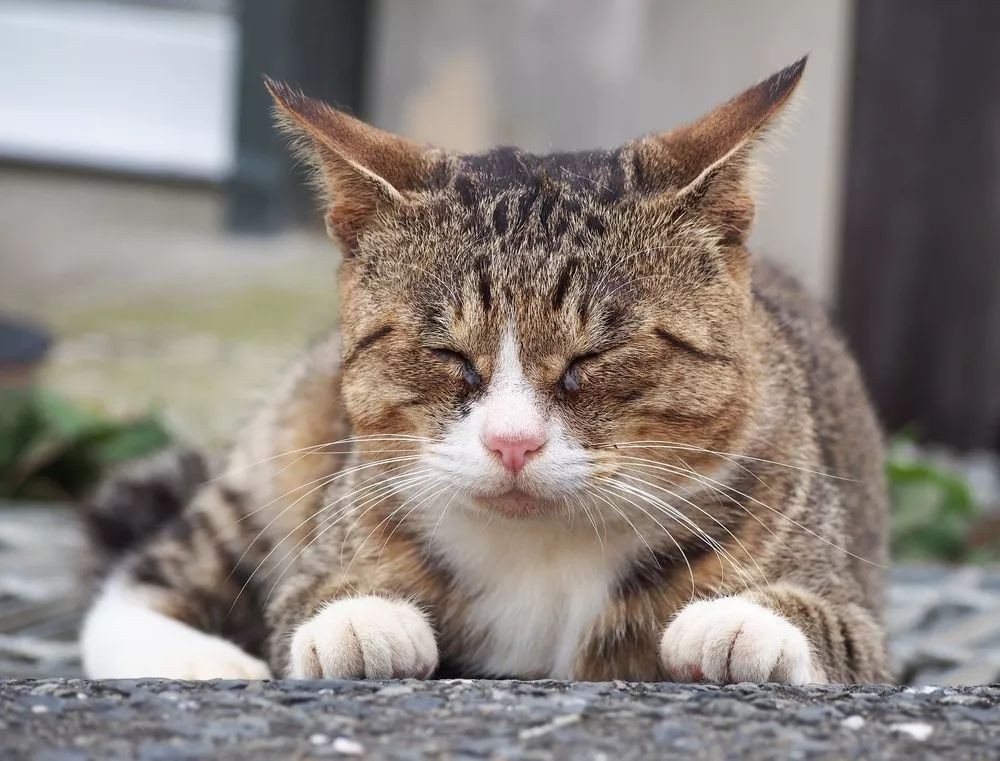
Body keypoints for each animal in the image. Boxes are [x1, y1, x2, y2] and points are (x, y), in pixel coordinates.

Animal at [79, 57, 891, 684]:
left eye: (594, 356)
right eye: (448, 354)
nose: (512, 443)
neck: (545, 553)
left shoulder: (856, 608)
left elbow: (838, 628)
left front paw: (747, 623)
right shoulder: (328, 529)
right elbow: (304, 599)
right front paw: (358, 617)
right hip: (283, 449)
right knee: (152, 570)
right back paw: (197, 659)